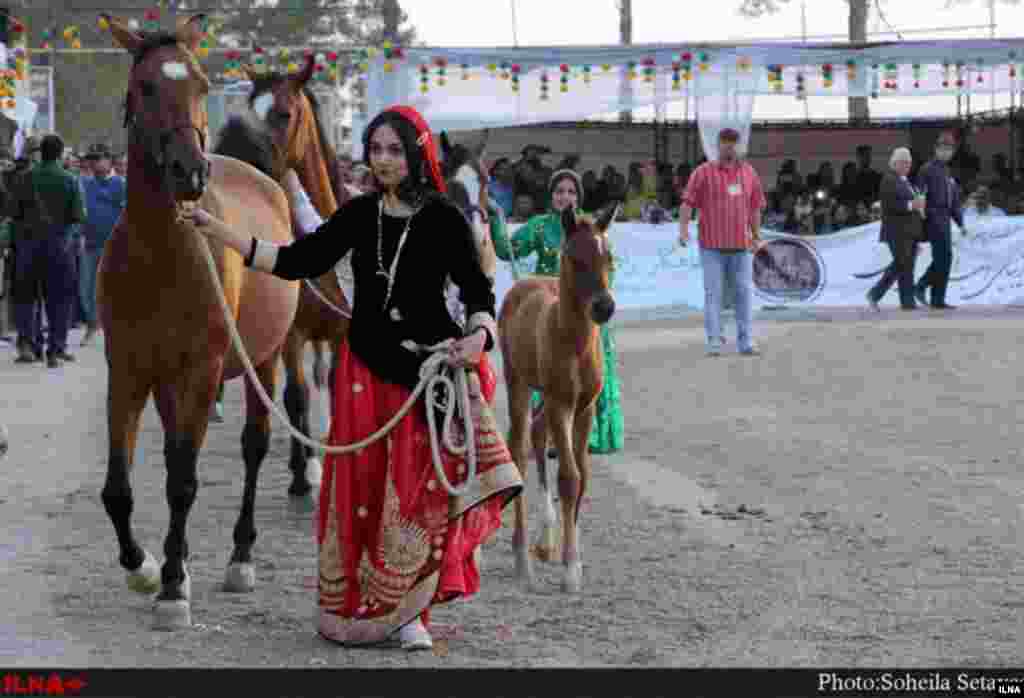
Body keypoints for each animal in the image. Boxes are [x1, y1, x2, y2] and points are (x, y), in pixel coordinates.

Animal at [96, 13, 299, 626]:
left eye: (203, 84)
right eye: (144, 87)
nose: (190, 171)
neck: (162, 255)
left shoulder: (203, 369)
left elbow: (183, 482)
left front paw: (170, 587)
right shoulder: (129, 369)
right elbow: (119, 488)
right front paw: (145, 566)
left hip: (264, 359)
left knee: (254, 446)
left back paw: (239, 558)